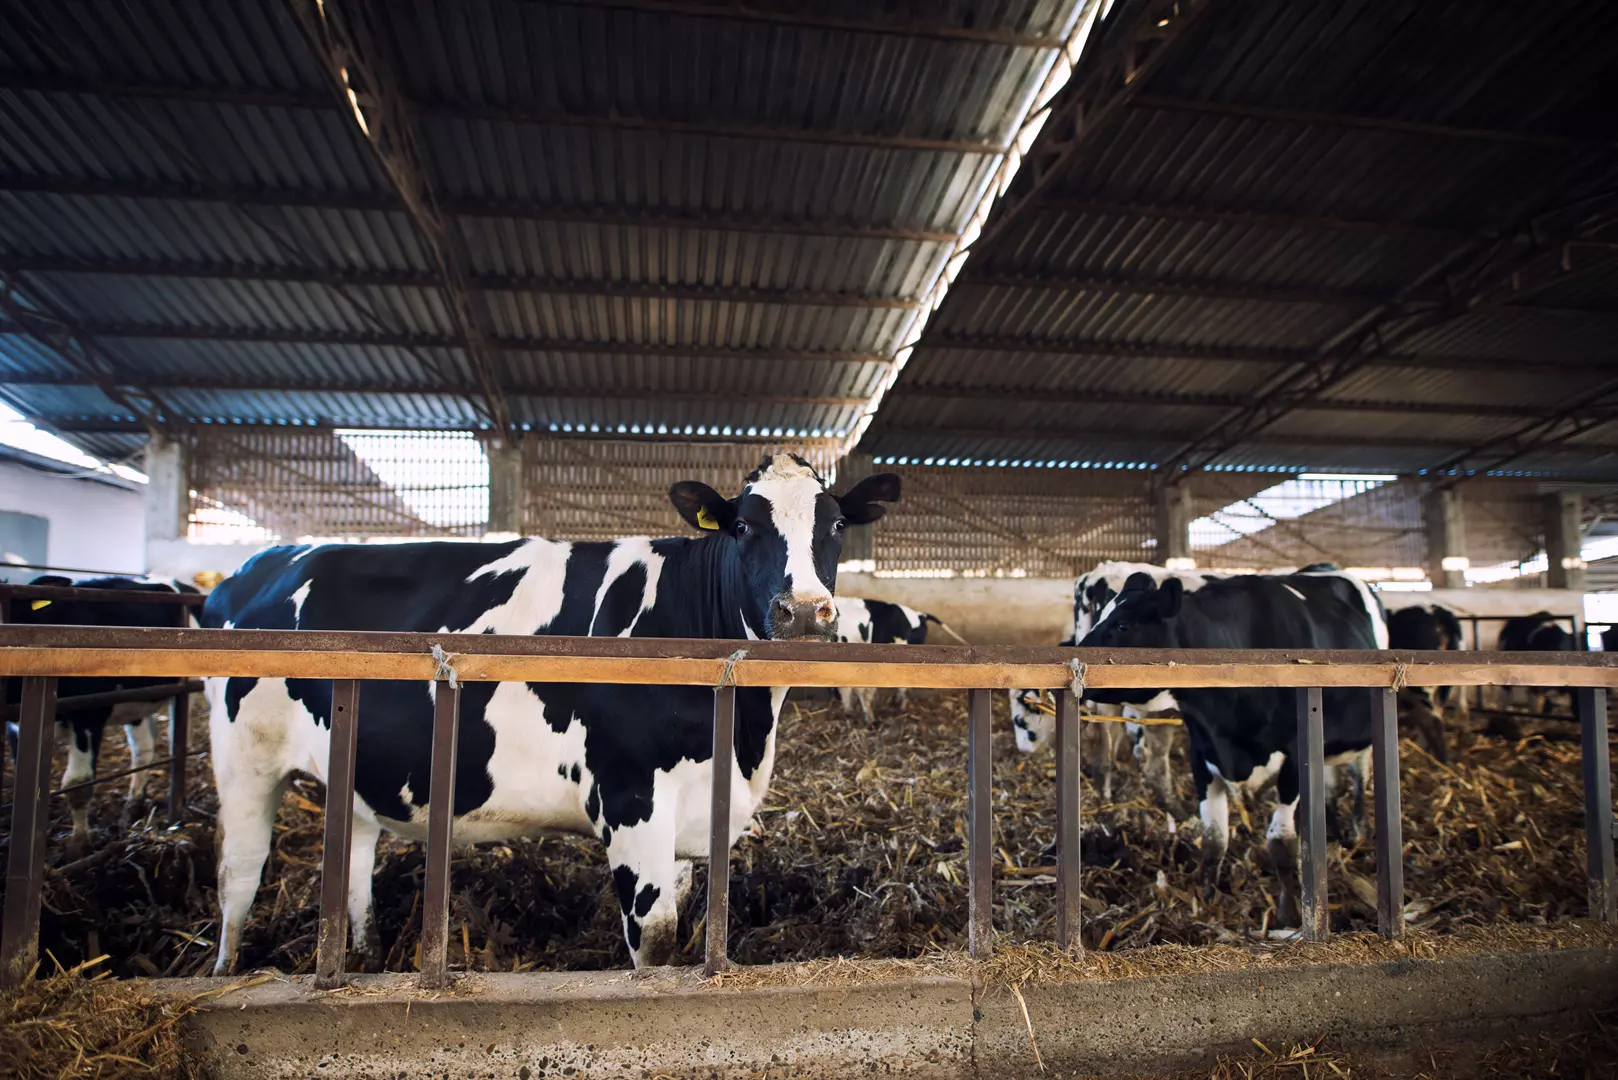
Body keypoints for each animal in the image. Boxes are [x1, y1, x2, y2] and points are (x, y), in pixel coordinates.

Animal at [4, 569, 200, 854]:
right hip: (136, 700)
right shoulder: (15, 723)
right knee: (144, 750)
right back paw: (134, 804)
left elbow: (77, 785)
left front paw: (79, 845)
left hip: (184, 690)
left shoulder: (89, 715)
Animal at [200, 453, 899, 977]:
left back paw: (366, 957)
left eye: (837, 524)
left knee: (354, 859)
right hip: (245, 759)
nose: (804, 611)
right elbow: (657, 941)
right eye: (745, 528)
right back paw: (227, 971)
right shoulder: (629, 799)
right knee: (239, 872)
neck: (744, 736)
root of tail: (252, 565)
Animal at [1080, 566, 1385, 932]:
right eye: (1100, 615)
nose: (1068, 648)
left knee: (1359, 780)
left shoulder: (1294, 758)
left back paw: (1358, 831)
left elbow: (1281, 843)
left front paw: (1290, 915)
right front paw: (1206, 903)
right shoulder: (1203, 751)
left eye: (1124, 625)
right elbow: (1214, 839)